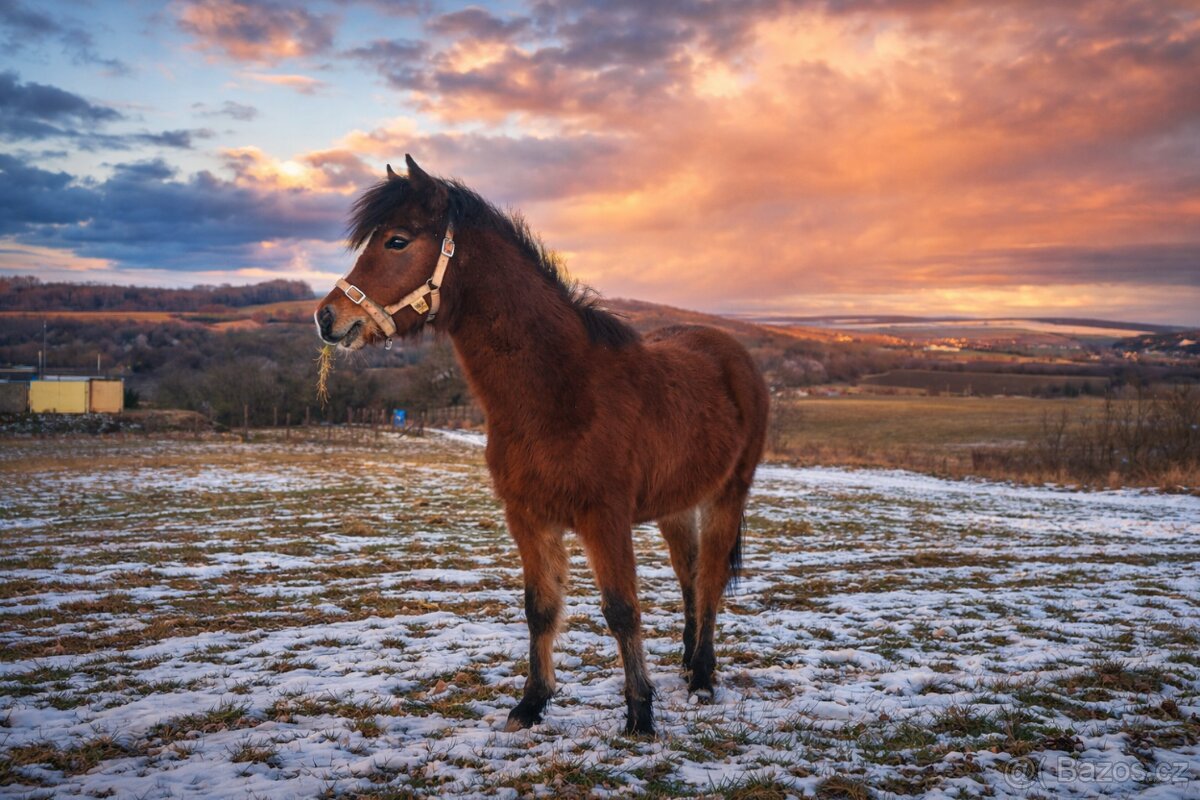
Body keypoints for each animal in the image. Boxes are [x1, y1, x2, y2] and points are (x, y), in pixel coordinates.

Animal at [315, 156, 769, 736]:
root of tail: (733, 353)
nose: (327, 318)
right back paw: (689, 664)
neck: (560, 390)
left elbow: (621, 609)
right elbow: (540, 608)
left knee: (709, 579)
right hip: (675, 505)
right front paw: (531, 703)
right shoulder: (528, 517)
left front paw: (639, 713)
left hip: (726, 497)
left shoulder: (604, 518)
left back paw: (705, 679)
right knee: (689, 575)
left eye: (397, 240)